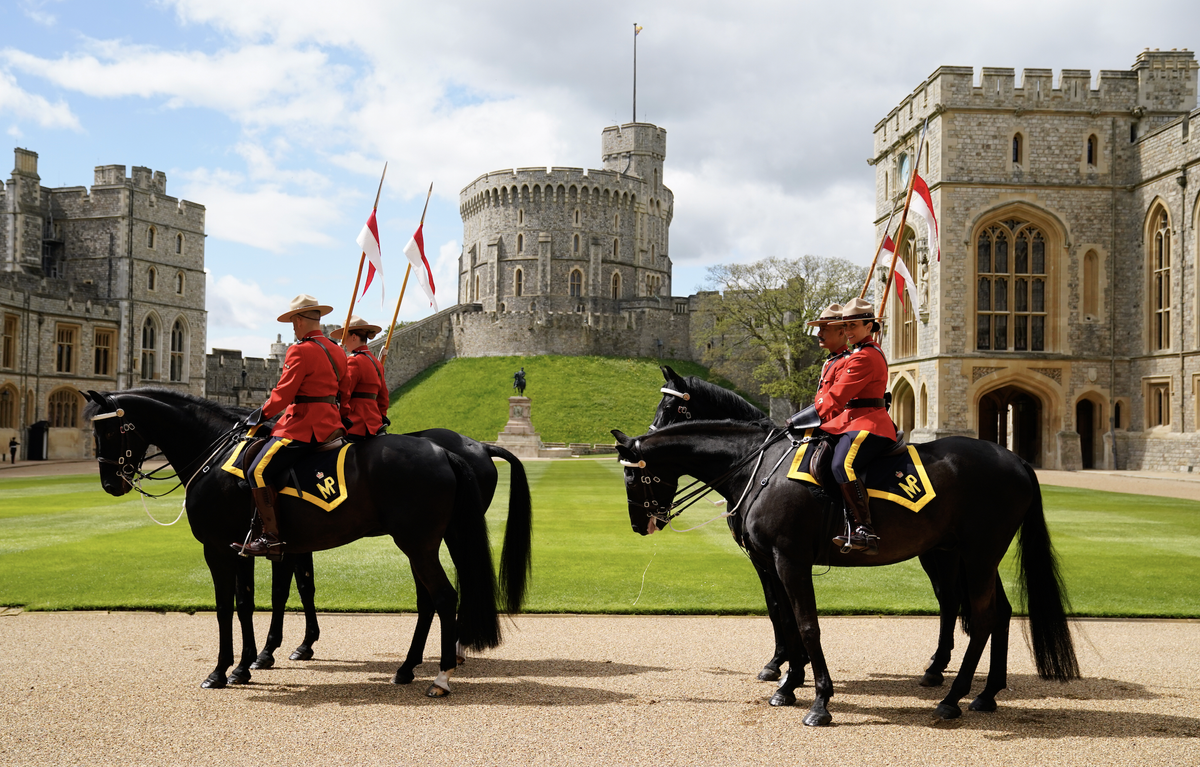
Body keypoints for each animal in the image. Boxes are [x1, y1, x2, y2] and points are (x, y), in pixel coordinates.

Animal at [253, 432, 530, 676]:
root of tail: (481, 447)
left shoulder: (285, 544)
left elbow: (281, 592)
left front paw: (268, 651)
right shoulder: (301, 543)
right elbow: (305, 587)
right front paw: (305, 644)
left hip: (433, 539)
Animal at [609, 420, 1080, 724]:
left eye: (633, 478)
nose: (639, 524)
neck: (760, 470)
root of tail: (1015, 459)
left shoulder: (788, 559)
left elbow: (806, 625)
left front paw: (818, 699)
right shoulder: (772, 562)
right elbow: (787, 620)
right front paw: (788, 683)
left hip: (976, 555)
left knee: (980, 618)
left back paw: (952, 697)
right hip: (970, 556)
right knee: (997, 612)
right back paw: (986, 693)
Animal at [652, 364, 969, 691]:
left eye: (671, 408)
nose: (647, 439)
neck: (756, 466)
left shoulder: (780, 556)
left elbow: (786, 610)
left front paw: (792, 665)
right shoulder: (761, 557)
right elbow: (776, 607)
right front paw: (784, 662)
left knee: (951, 598)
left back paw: (940, 667)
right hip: (936, 549)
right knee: (947, 597)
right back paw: (937, 663)